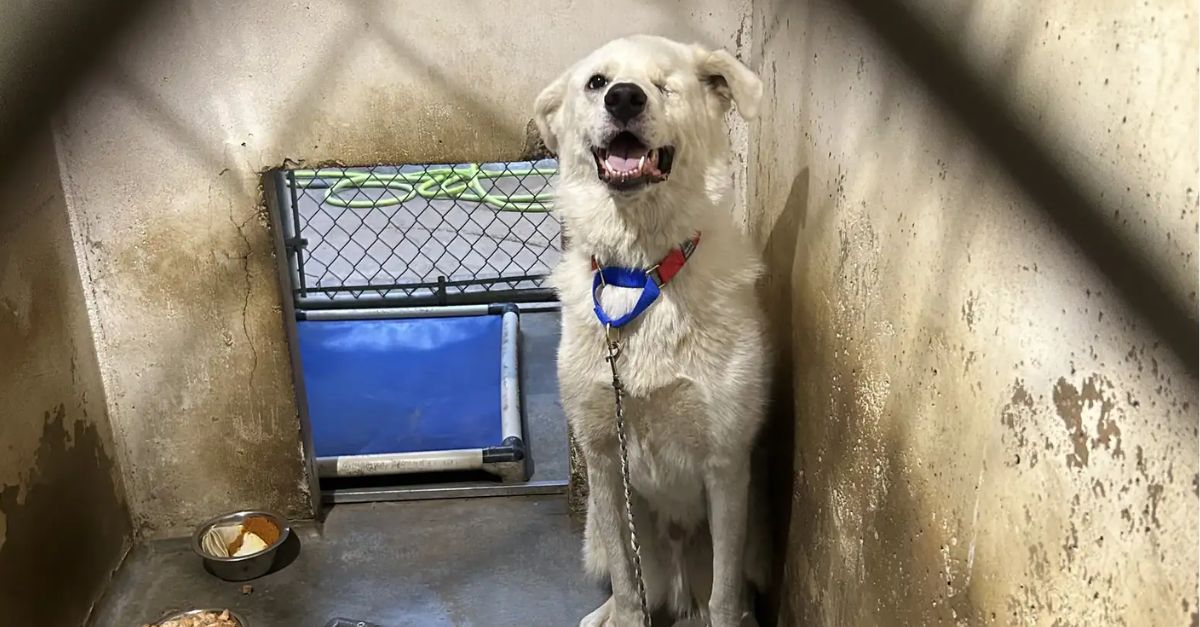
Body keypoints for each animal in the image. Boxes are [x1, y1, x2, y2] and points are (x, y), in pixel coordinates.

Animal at [535, 35, 768, 624]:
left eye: (664, 85)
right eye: (596, 82)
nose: (623, 98)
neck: (639, 269)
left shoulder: (726, 465)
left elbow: (725, 596)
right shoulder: (603, 461)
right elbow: (627, 582)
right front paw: (622, 615)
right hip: (596, 533)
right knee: (637, 585)